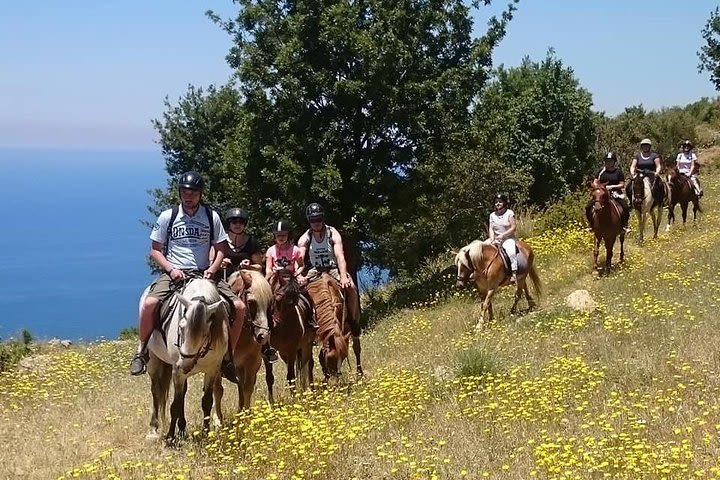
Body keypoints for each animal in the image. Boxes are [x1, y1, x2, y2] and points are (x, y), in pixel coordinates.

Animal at [143, 280, 228, 440]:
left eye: (205, 334)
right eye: (181, 328)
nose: (185, 364)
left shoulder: (212, 369)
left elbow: (206, 401)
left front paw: (206, 432)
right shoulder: (177, 371)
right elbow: (175, 405)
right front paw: (170, 437)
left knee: (181, 394)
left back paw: (182, 429)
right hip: (154, 361)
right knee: (156, 391)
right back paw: (153, 429)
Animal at [215, 268, 274, 410]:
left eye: (270, 302)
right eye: (251, 302)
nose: (263, 336)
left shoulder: (253, 361)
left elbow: (248, 388)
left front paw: (247, 414)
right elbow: (218, 391)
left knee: (268, 378)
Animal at [264, 270, 316, 402]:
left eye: (294, 303)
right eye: (277, 298)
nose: (274, 323)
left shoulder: (291, 349)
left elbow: (291, 376)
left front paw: (294, 399)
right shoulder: (267, 353)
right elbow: (269, 378)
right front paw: (271, 403)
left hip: (306, 346)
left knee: (307, 366)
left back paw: (309, 391)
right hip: (284, 353)